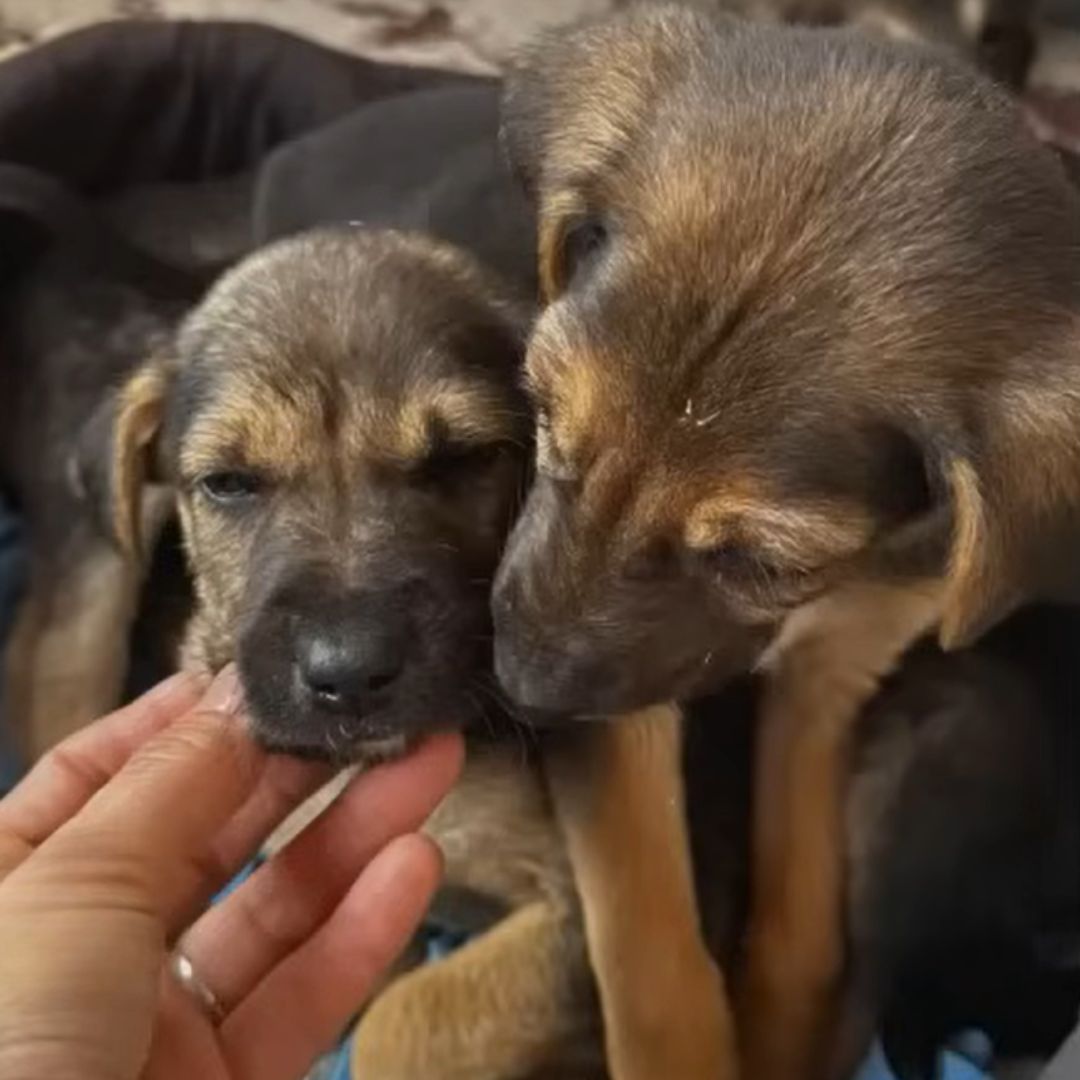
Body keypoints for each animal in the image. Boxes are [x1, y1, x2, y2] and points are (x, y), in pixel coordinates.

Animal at [494, 4, 1080, 1075]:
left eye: (763, 563)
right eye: (547, 416)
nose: (523, 693)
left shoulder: (837, 673)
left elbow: (804, 929)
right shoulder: (630, 710)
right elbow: (653, 961)